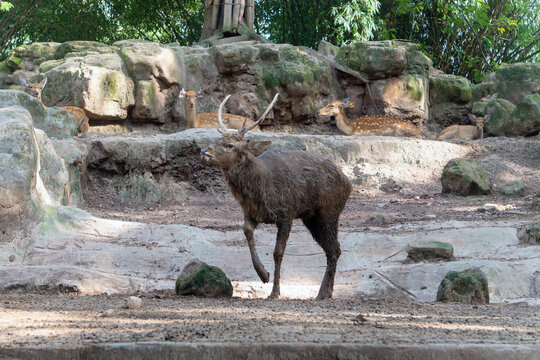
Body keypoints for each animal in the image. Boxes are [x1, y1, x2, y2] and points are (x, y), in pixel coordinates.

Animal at [200, 93, 352, 300]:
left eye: (229, 145)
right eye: (215, 140)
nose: (204, 151)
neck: (261, 191)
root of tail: (348, 183)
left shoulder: (286, 212)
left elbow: (278, 252)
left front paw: (274, 291)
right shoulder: (251, 213)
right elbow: (246, 230)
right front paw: (263, 275)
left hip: (329, 210)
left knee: (334, 248)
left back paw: (322, 293)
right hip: (311, 217)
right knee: (333, 249)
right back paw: (326, 292)